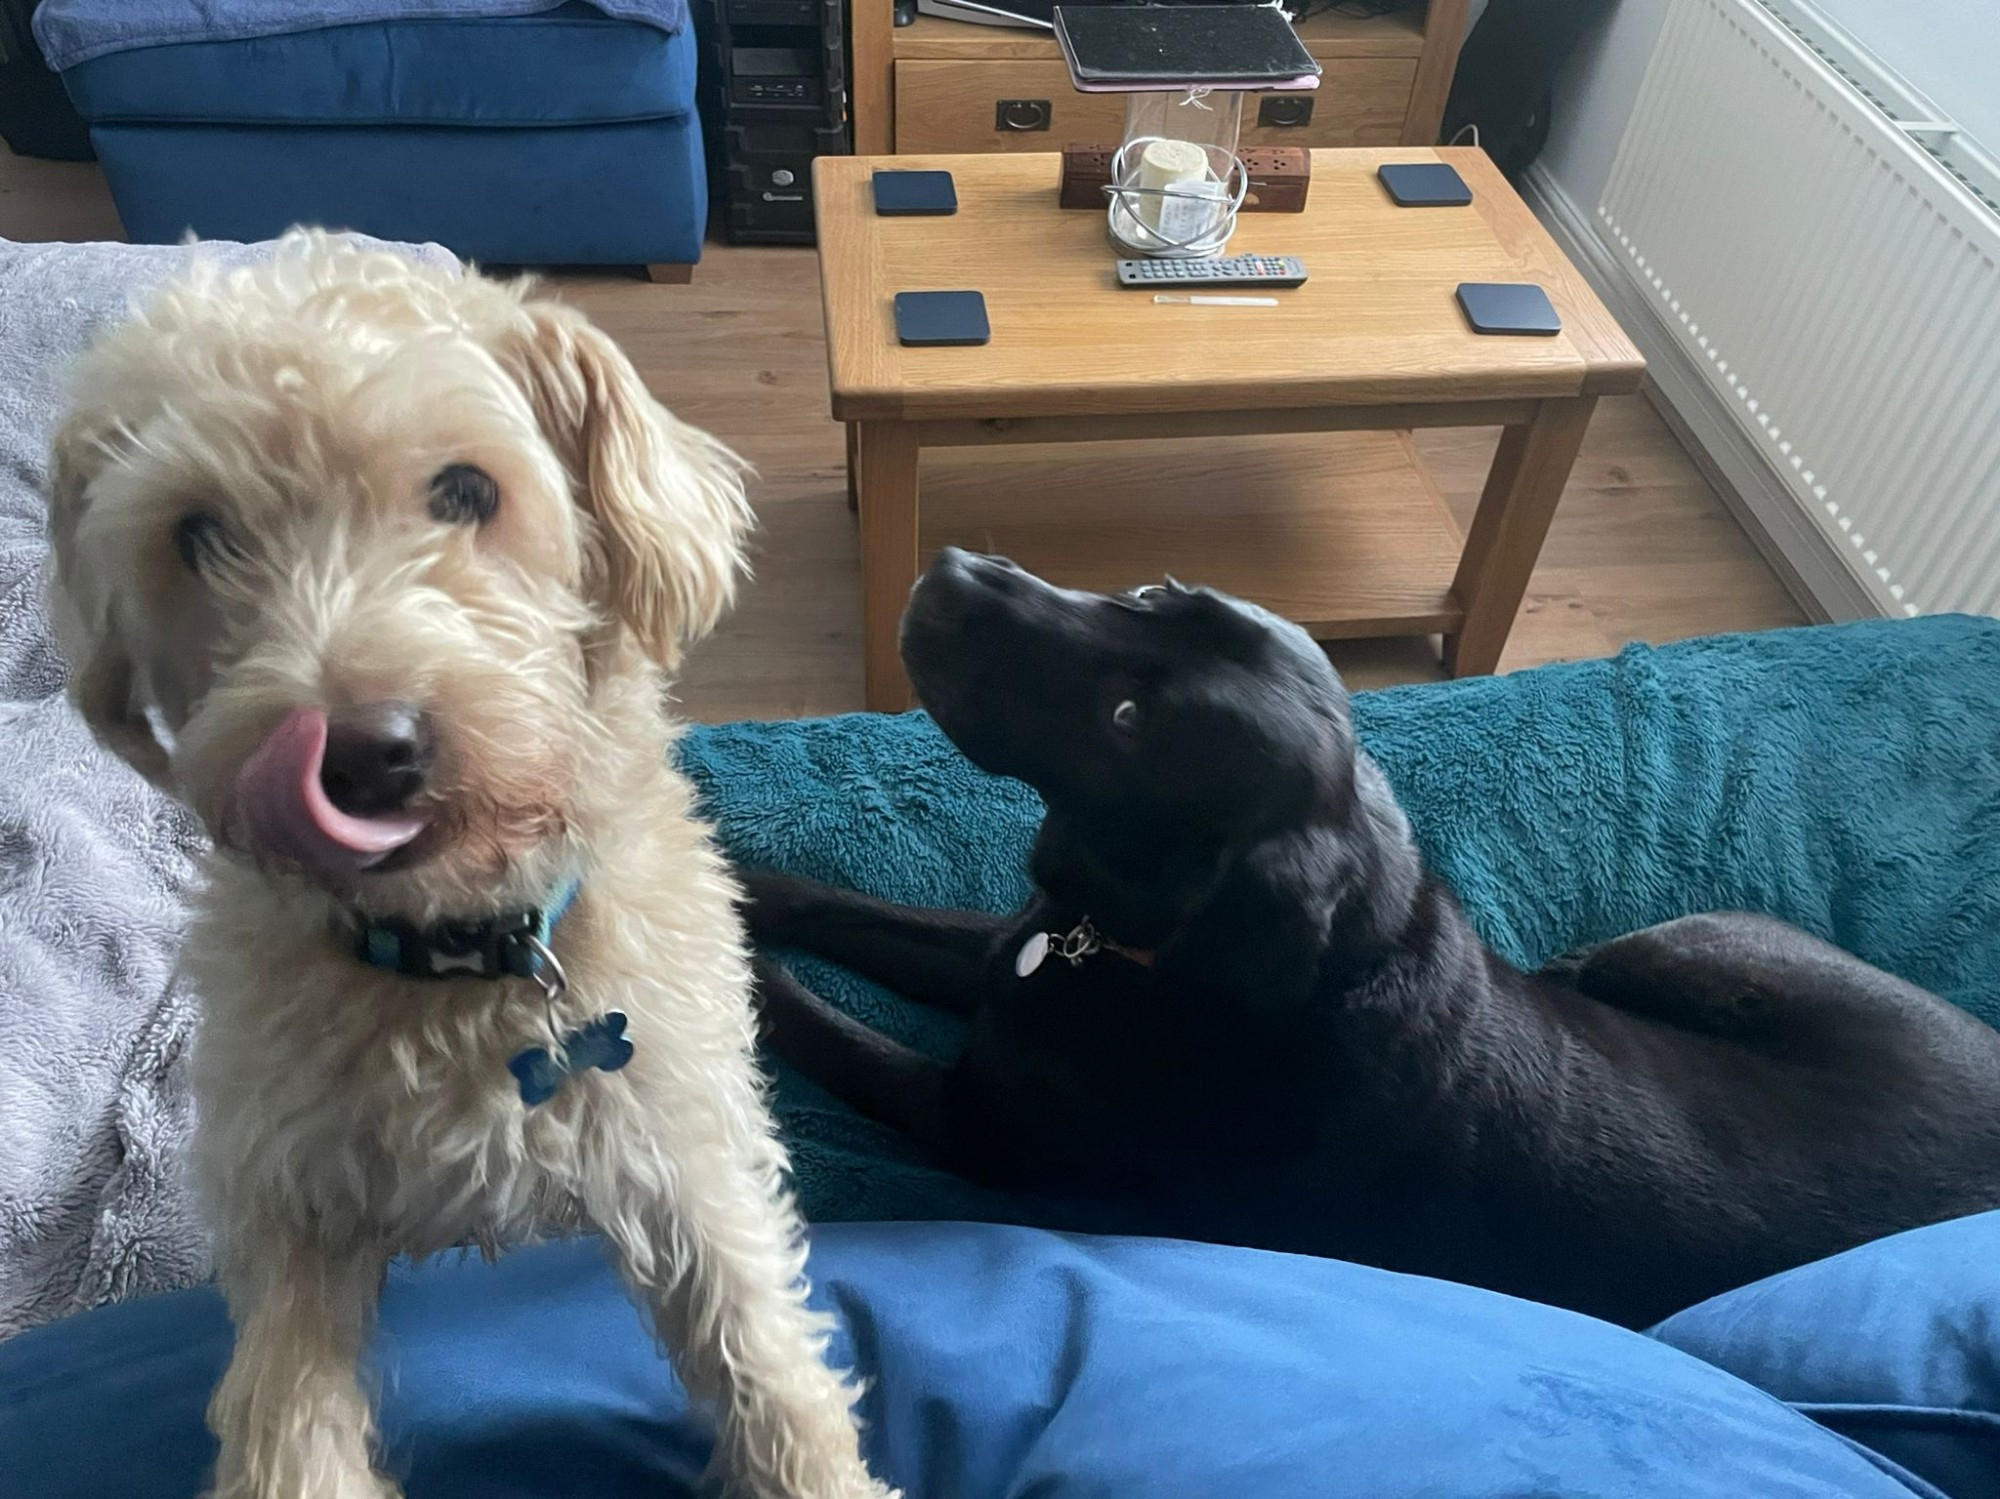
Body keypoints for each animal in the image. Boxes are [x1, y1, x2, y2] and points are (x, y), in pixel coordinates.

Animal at [47, 231, 896, 1499]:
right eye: (195, 534)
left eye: (465, 489)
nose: (364, 754)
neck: (451, 952)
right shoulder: (287, 1187)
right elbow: (285, 1406)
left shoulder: (682, 1141)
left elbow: (762, 1351)